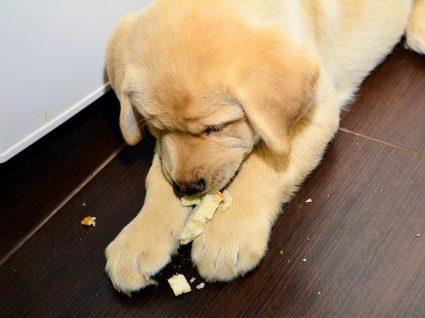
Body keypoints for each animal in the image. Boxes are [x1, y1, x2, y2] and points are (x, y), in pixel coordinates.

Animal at [104, 0, 424, 294]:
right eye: (155, 127)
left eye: (215, 128)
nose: (187, 187)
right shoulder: (166, 152)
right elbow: (157, 176)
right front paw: (139, 238)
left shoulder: (318, 113)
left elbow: (263, 165)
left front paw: (227, 235)